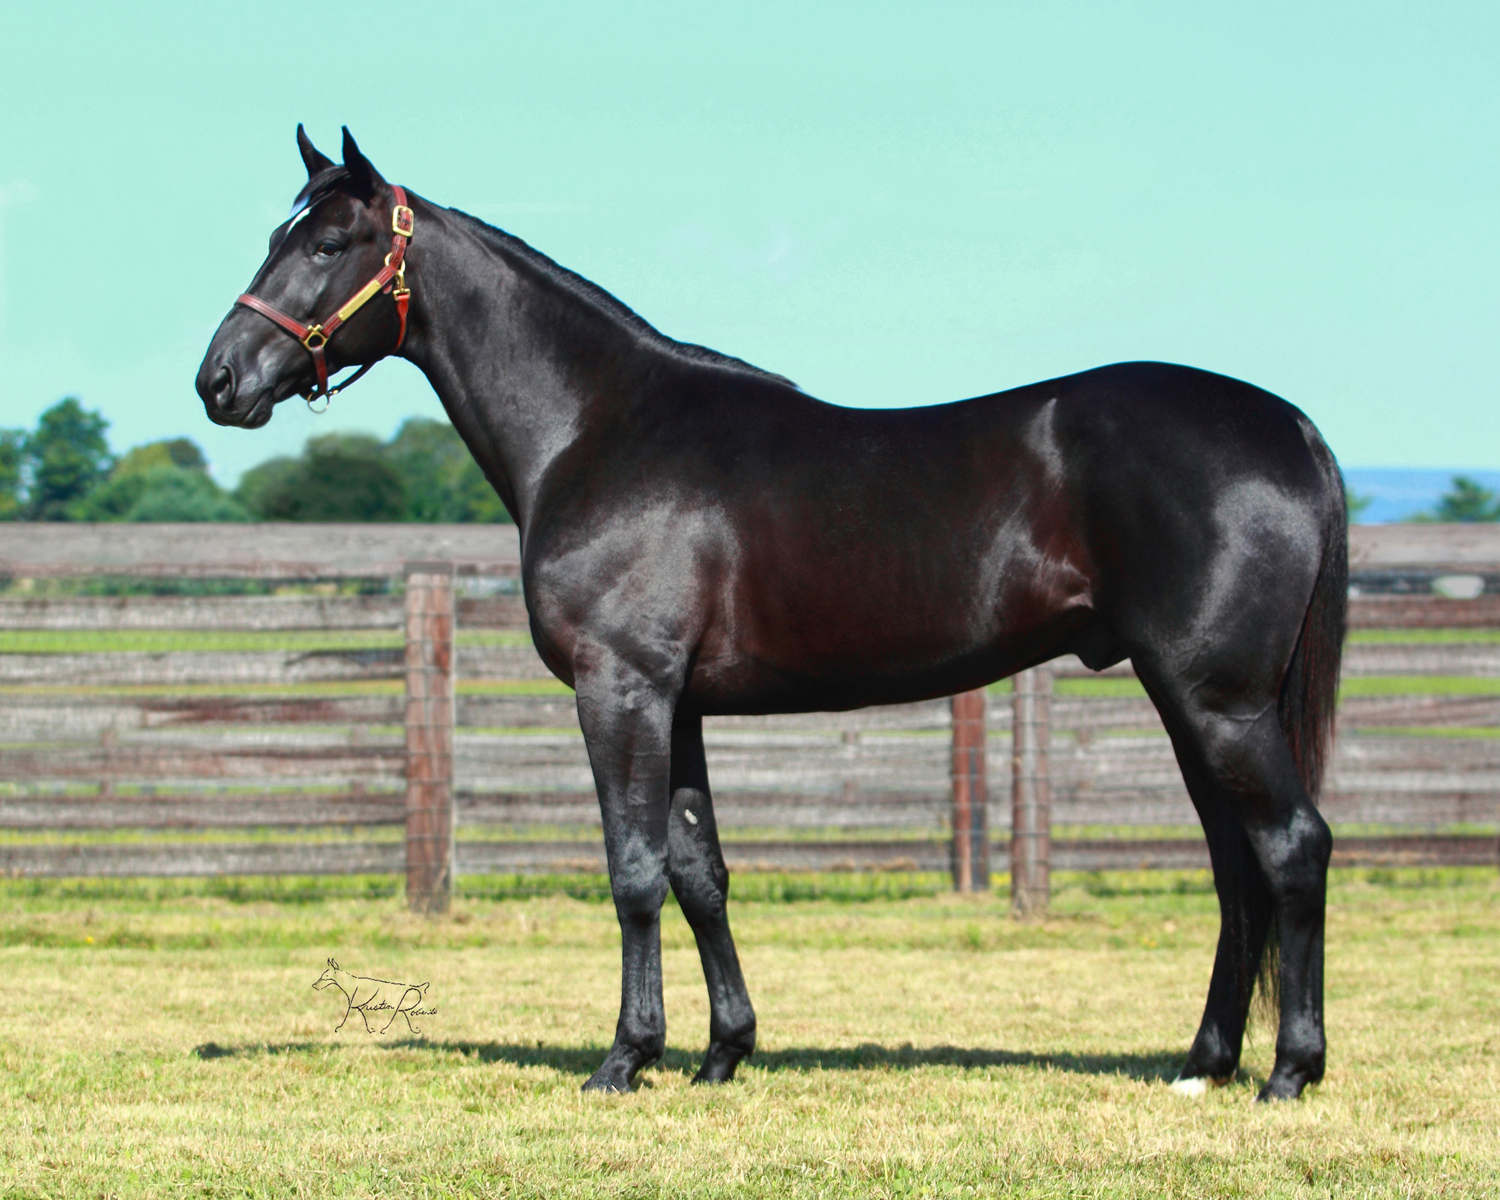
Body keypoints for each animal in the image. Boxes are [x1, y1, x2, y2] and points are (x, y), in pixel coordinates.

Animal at [199, 127, 1346, 1101]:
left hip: (1219, 702)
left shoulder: (621, 689)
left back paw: (1290, 1071)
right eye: (274, 236)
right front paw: (723, 1054)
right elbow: (700, 871)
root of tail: (1289, 426)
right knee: (1236, 867)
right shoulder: (681, 705)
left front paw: (625, 1058)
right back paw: (1203, 1064)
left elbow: (633, 870)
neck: (599, 429)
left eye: (330, 241)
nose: (220, 379)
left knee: (1292, 848)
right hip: (1192, 703)